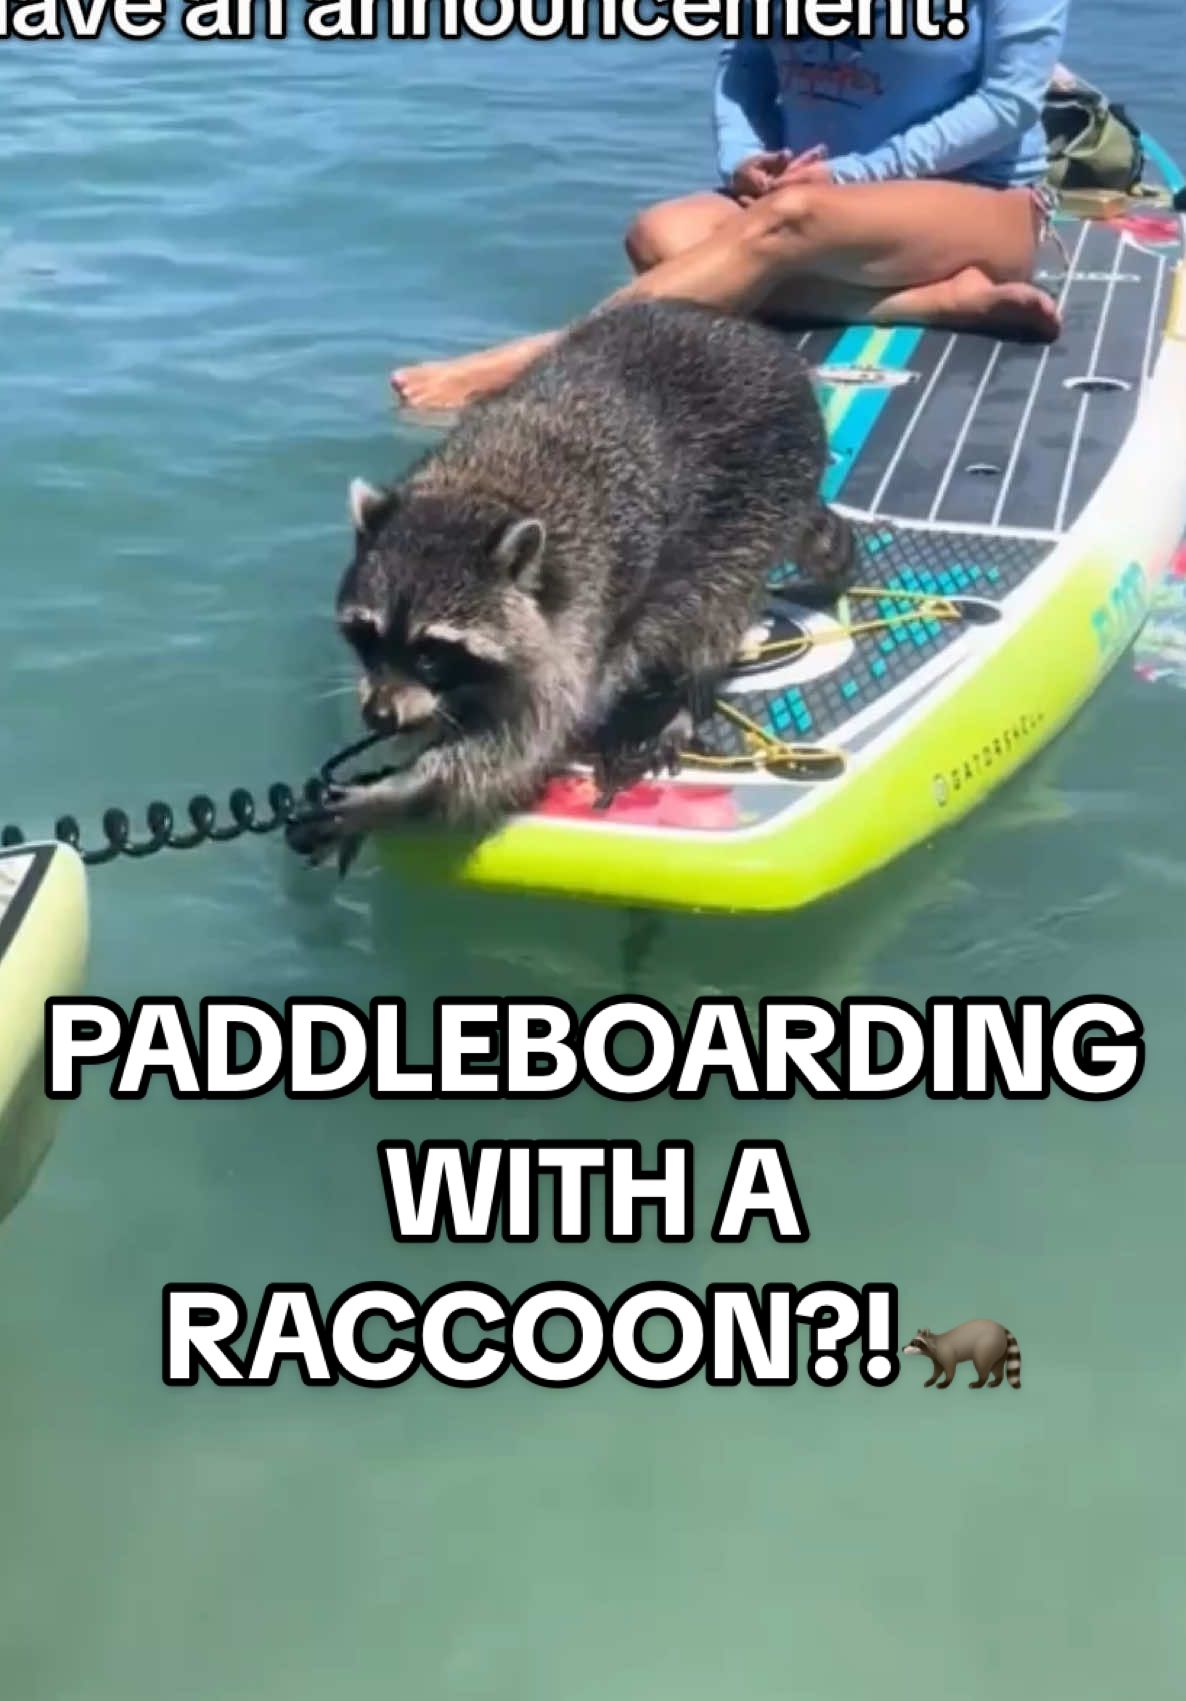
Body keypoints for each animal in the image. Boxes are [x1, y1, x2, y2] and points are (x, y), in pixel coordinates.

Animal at [295, 298, 854, 859]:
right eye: (367, 636)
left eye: (432, 652)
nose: (379, 716)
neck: (481, 491)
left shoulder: (585, 611)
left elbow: (526, 741)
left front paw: (407, 787)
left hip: (758, 505)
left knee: (714, 614)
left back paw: (684, 700)